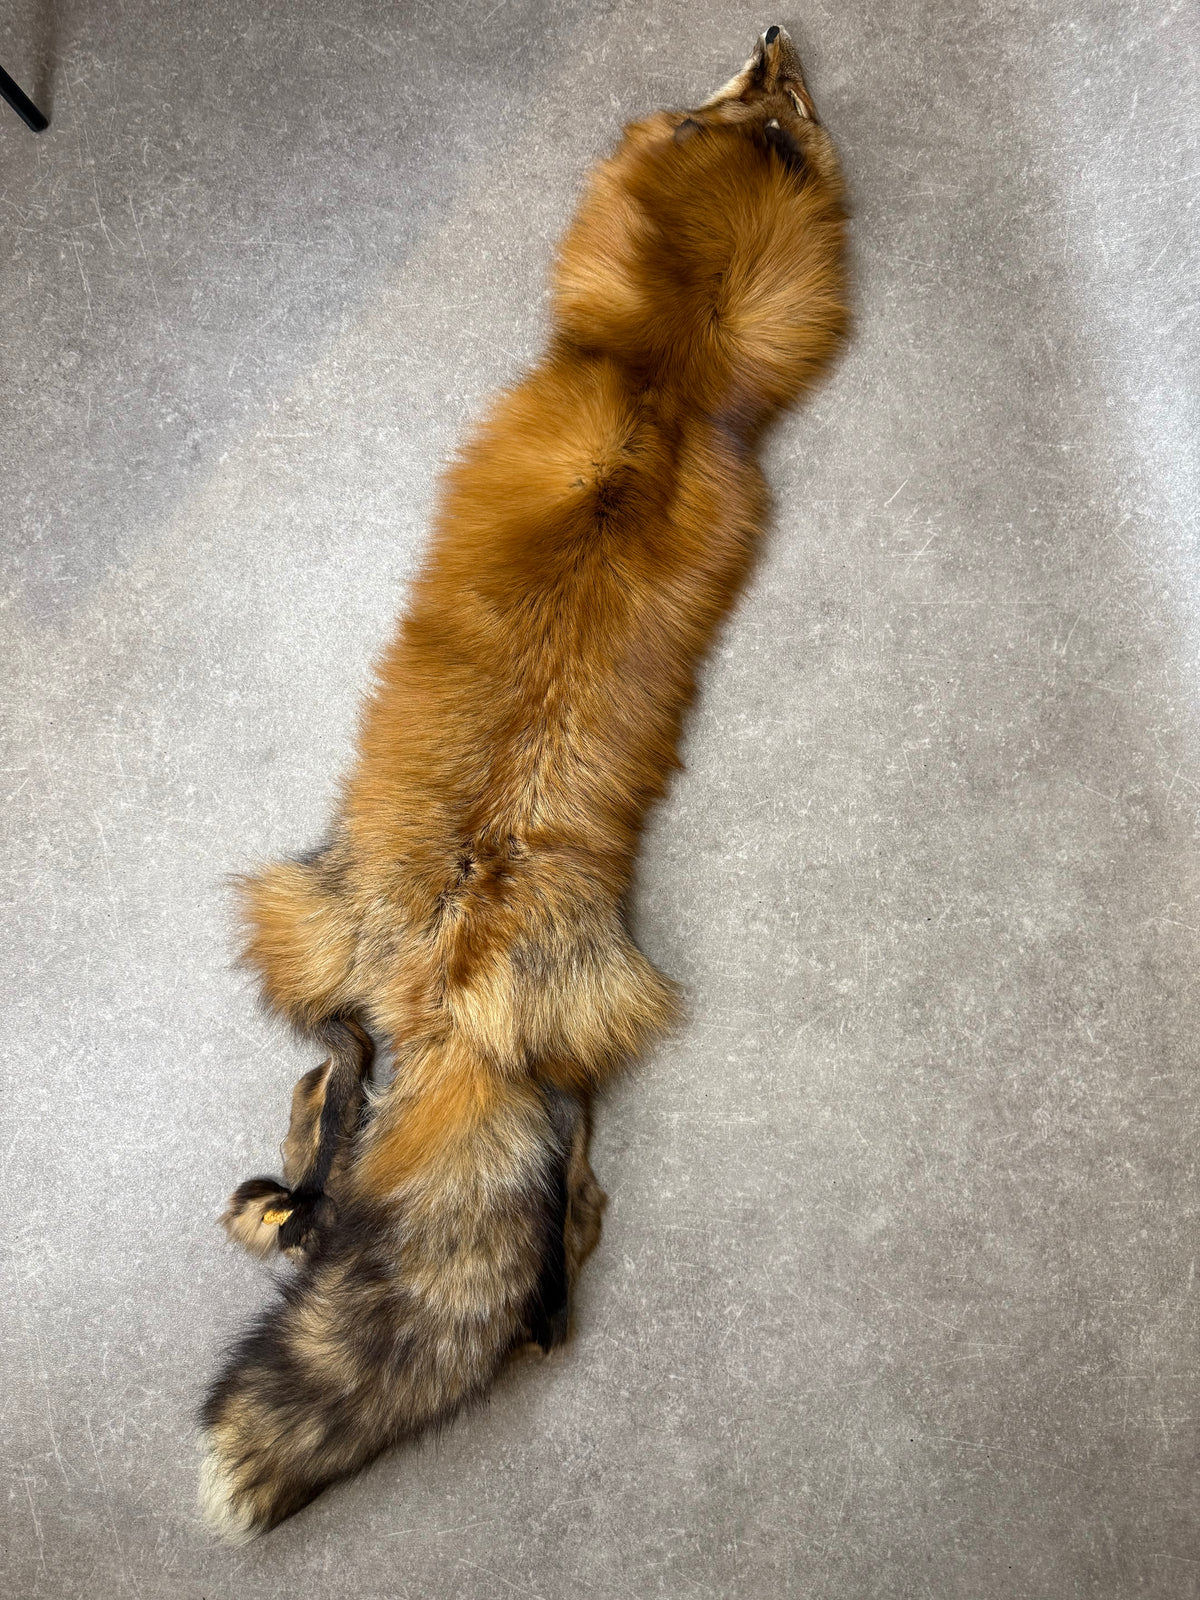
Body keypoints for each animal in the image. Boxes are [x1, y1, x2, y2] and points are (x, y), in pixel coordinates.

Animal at [200, 25, 848, 1540]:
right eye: (767, 94)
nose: (780, 30)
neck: (662, 385)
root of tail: (456, 969)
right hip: (367, 960)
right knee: (364, 1113)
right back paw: (297, 1201)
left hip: (446, 1008)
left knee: (429, 1151)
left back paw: (320, 1207)